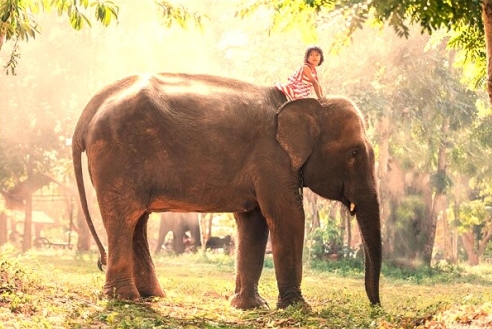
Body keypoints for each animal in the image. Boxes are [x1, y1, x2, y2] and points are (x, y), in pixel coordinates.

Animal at [73, 71, 382, 308]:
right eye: (354, 153)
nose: (375, 305)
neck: (306, 104)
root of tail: (90, 109)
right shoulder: (272, 157)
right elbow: (287, 217)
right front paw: (298, 307)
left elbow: (254, 222)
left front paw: (249, 307)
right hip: (117, 157)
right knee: (123, 217)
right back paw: (125, 299)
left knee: (138, 220)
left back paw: (152, 296)